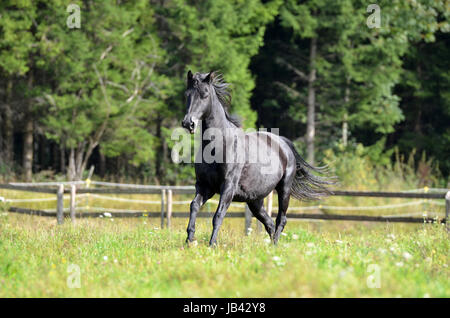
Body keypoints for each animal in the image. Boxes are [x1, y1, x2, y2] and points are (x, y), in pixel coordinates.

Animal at [181, 72, 332, 246]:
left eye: (204, 94)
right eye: (187, 94)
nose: (188, 123)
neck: (218, 145)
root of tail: (284, 144)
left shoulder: (228, 187)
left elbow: (218, 215)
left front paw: (212, 244)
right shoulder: (204, 185)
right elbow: (194, 206)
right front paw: (189, 240)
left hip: (284, 190)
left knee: (281, 219)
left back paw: (275, 246)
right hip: (255, 201)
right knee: (269, 223)